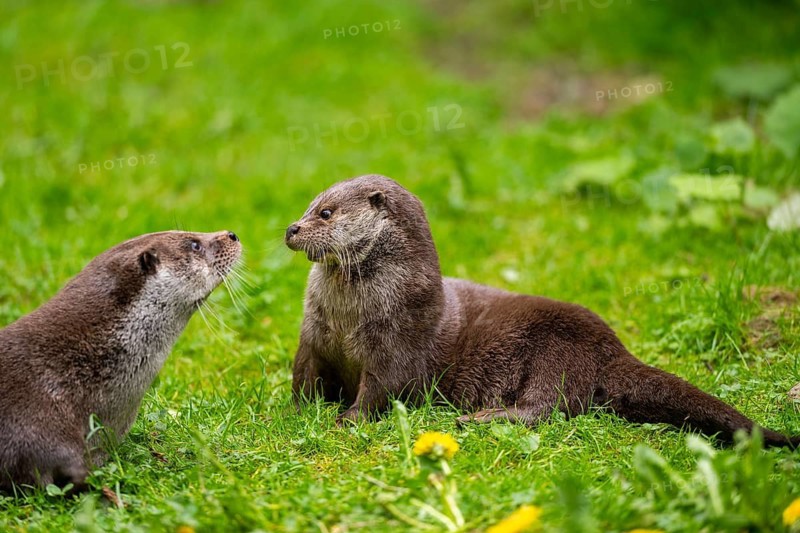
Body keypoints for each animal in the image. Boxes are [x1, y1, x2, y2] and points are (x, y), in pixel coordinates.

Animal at [285, 175, 799, 448]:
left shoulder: (396, 342)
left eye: (326, 213)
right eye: (308, 206)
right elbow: (303, 375)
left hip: (557, 349)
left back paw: (479, 418)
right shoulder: (313, 336)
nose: (292, 229)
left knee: (548, 406)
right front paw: (291, 412)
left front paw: (346, 420)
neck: (348, 318)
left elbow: (380, 388)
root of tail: (613, 349)